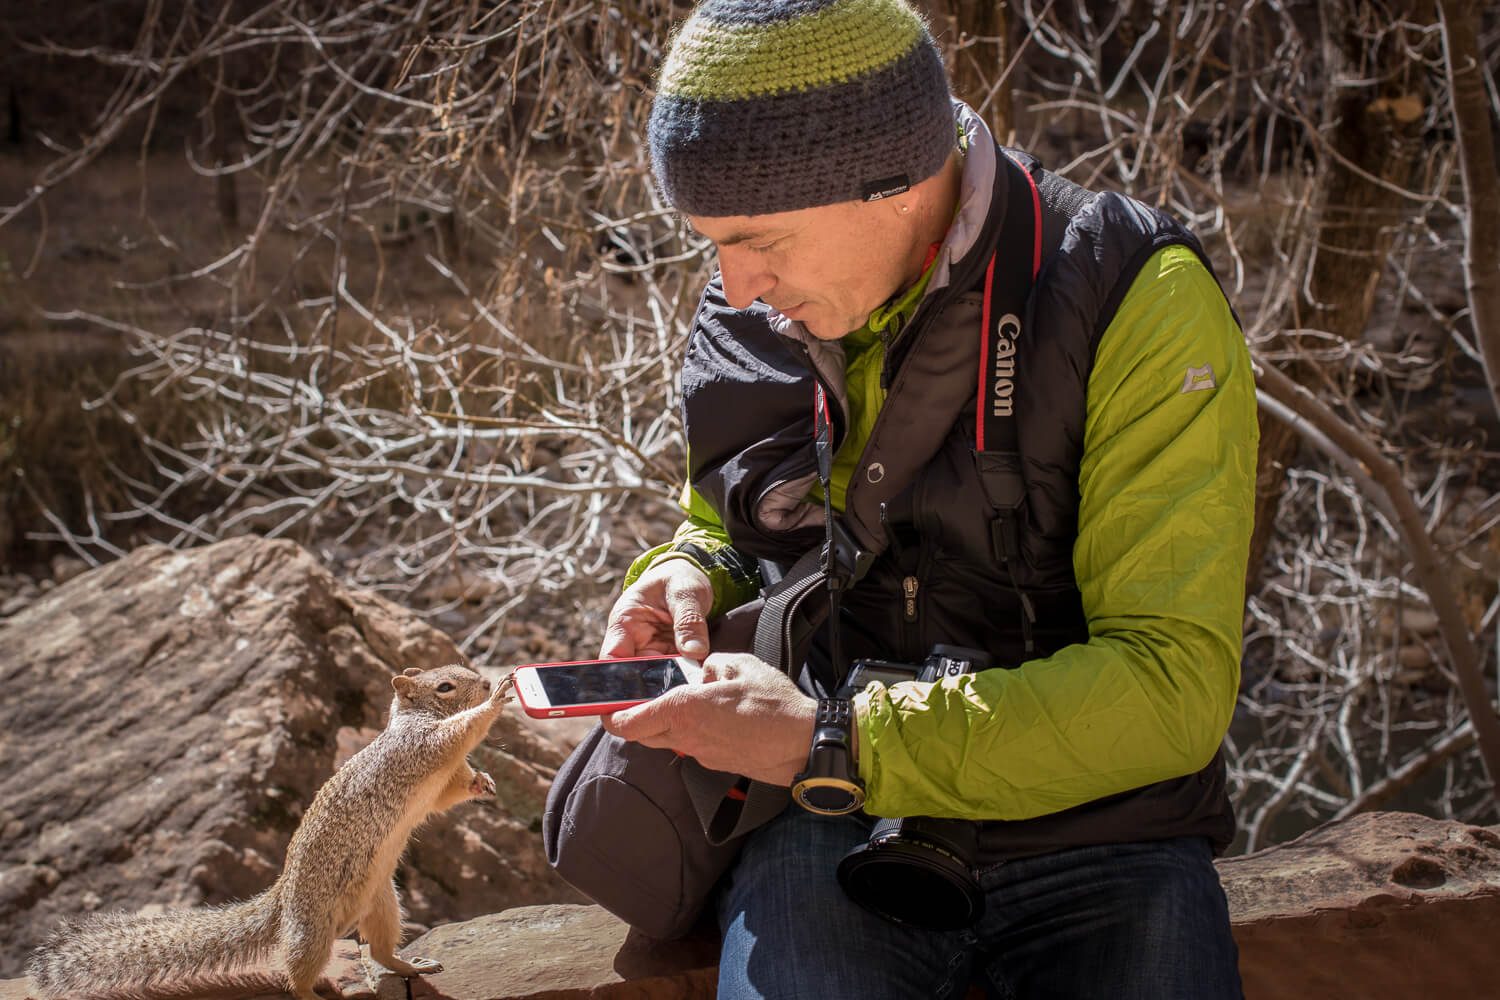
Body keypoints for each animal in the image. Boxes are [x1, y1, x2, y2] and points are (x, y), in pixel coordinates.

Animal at [24, 659, 510, 995]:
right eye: (445, 686)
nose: (486, 682)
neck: (416, 717)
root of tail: (282, 897)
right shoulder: (421, 748)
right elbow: (457, 732)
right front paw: (495, 702)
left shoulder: (443, 780)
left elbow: (454, 791)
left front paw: (484, 783)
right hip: (312, 928)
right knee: (294, 975)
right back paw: (312, 994)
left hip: (383, 902)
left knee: (378, 950)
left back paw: (411, 966)